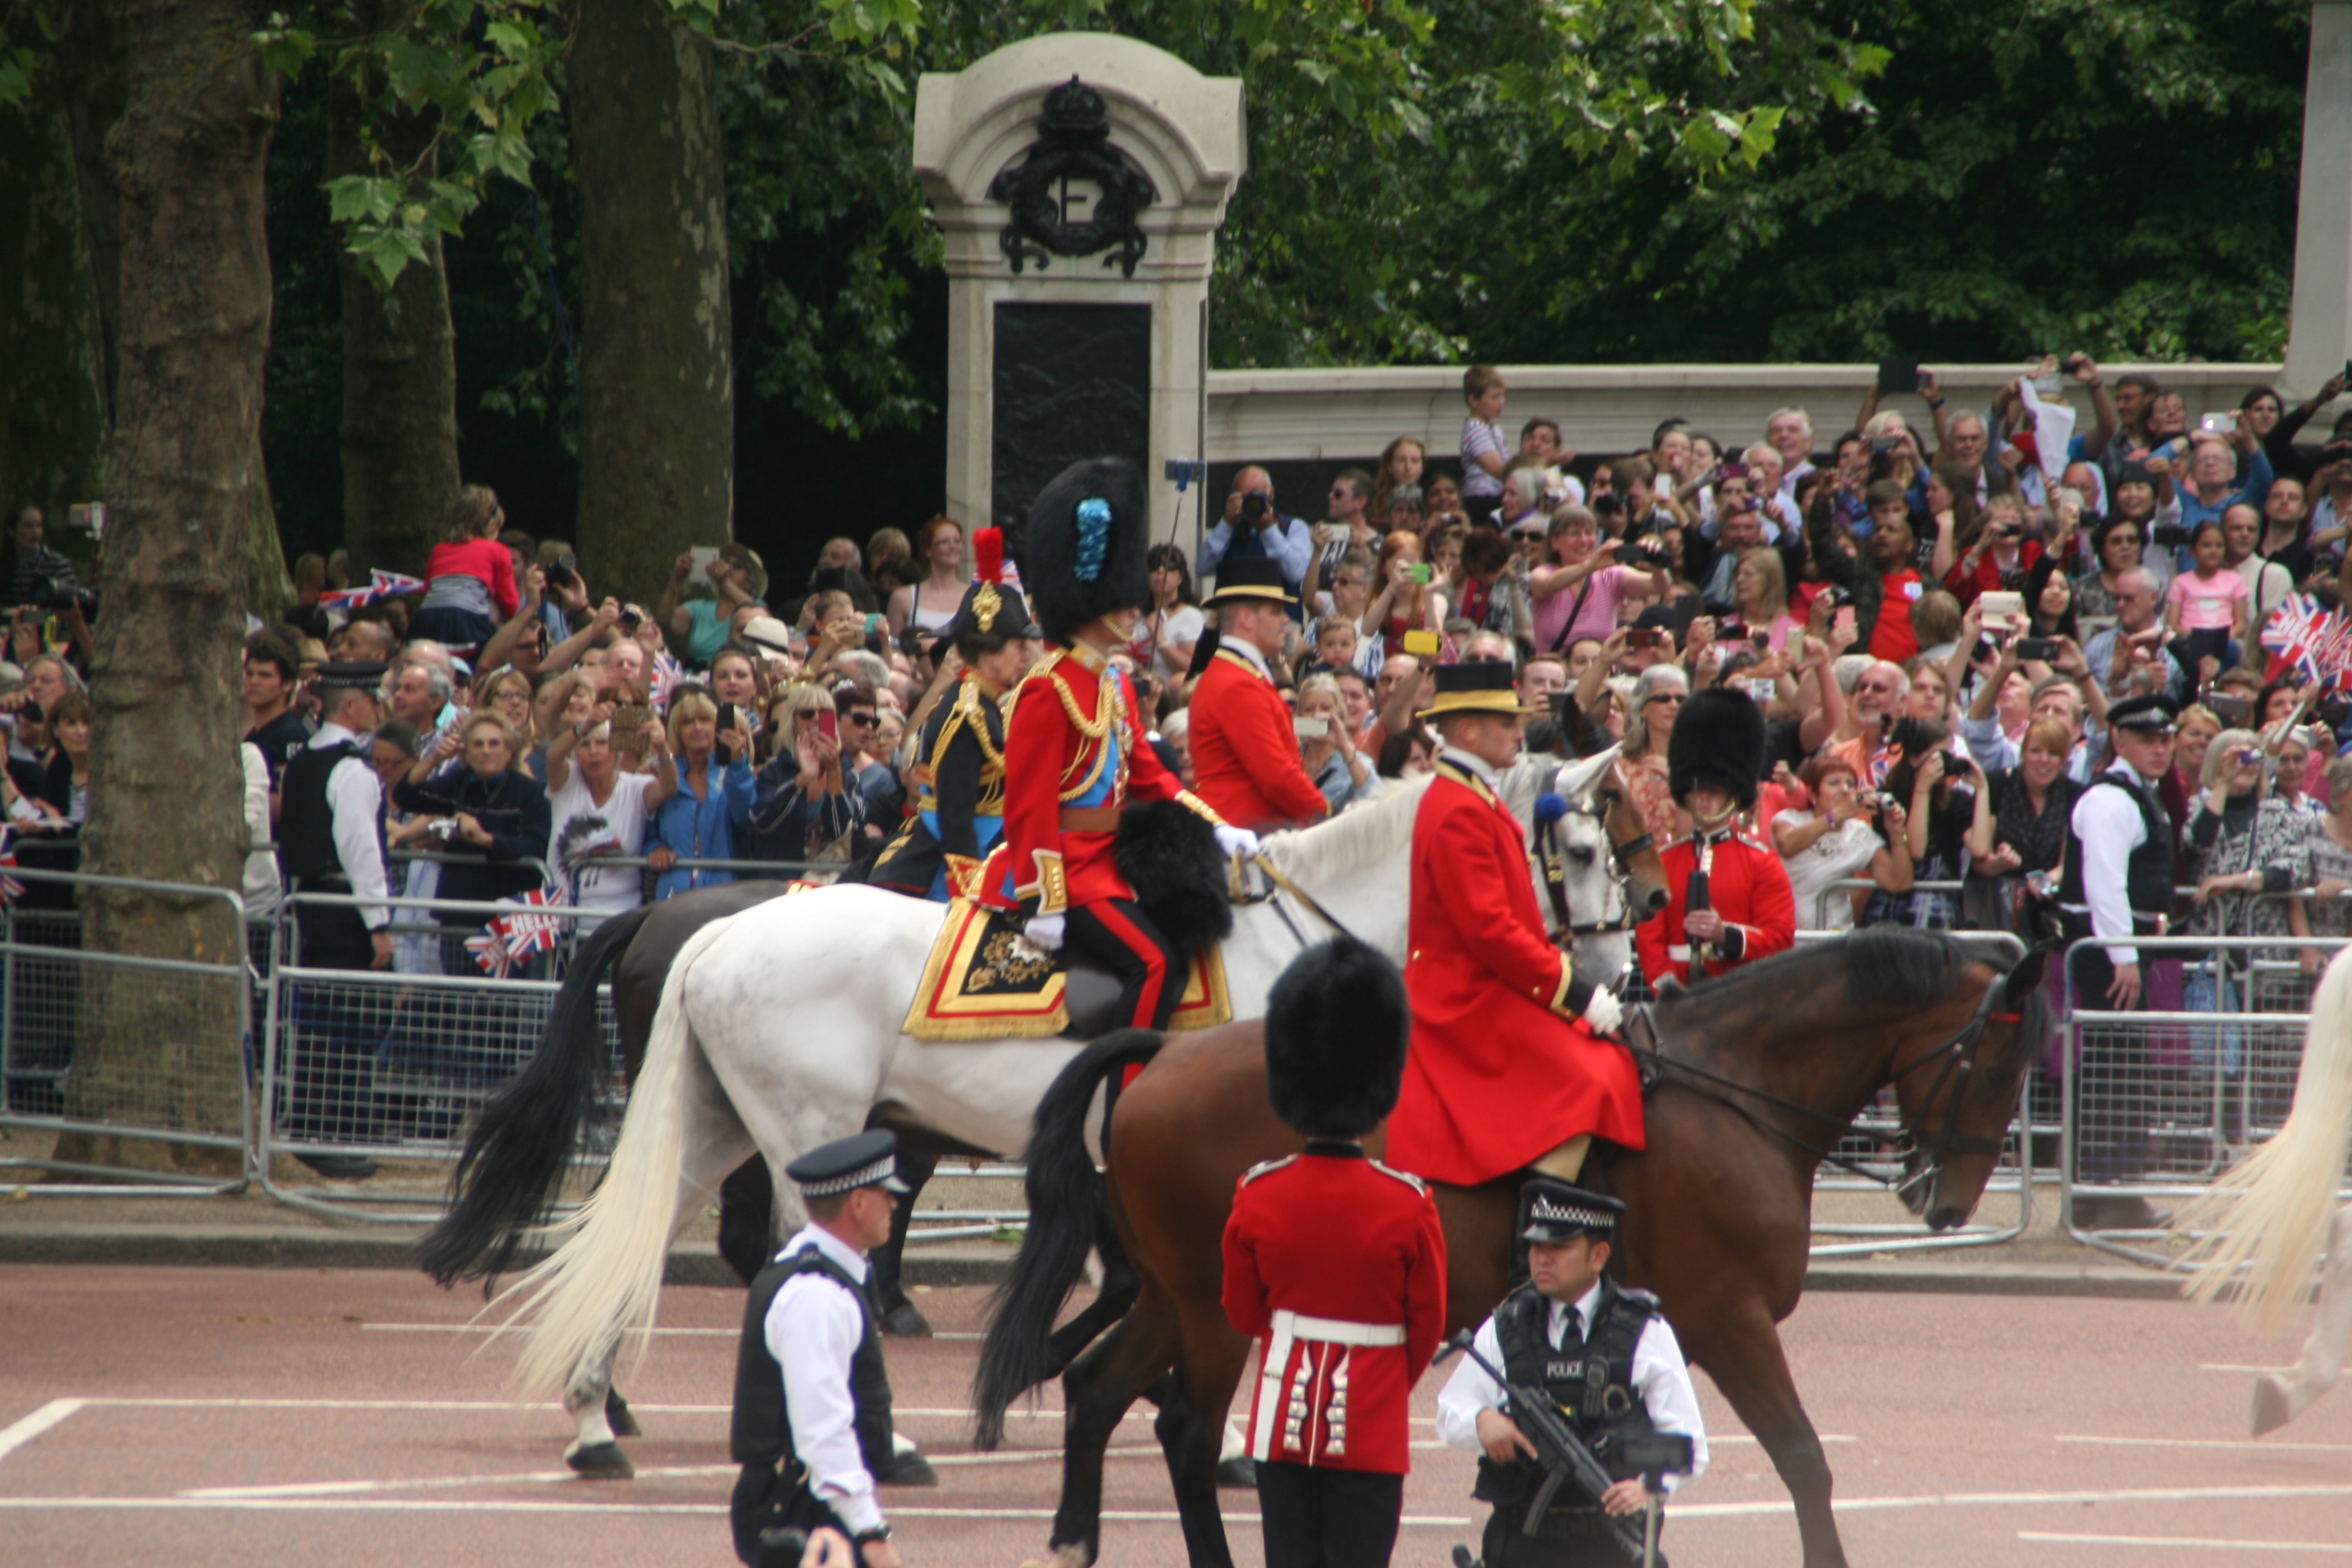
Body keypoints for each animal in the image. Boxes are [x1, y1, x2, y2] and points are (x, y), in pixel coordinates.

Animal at [482, 747, 1655, 1476]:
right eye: (1582, 852)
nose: (1619, 978)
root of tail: (714, 930)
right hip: (810, 1126)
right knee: (797, 1251)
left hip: (723, 1123)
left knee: (652, 1236)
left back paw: (595, 1415)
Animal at [969, 930, 2041, 1568]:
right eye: (1998, 1063)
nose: (1948, 1203)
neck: (1731, 1085)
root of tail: (1165, 1053)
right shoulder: (1728, 1319)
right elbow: (1805, 1460)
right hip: (1215, 1308)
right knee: (1187, 1430)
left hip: (1168, 1296)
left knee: (1098, 1391)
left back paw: (1073, 1539)